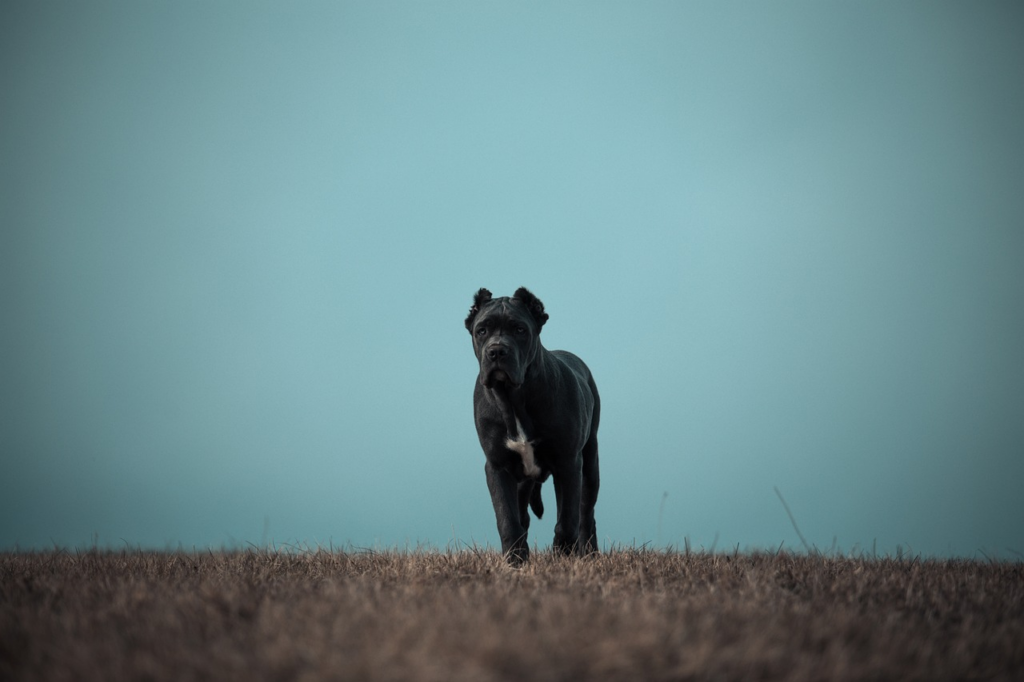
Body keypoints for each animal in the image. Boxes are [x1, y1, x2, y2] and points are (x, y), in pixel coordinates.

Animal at [466, 286, 598, 561]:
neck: (513, 399)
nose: (497, 351)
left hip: (590, 462)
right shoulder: (498, 466)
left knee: (586, 513)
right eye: (481, 330)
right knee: (523, 517)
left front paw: (563, 558)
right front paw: (515, 561)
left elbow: (567, 519)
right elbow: (508, 520)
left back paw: (589, 555)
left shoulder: (568, 463)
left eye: (519, 329)